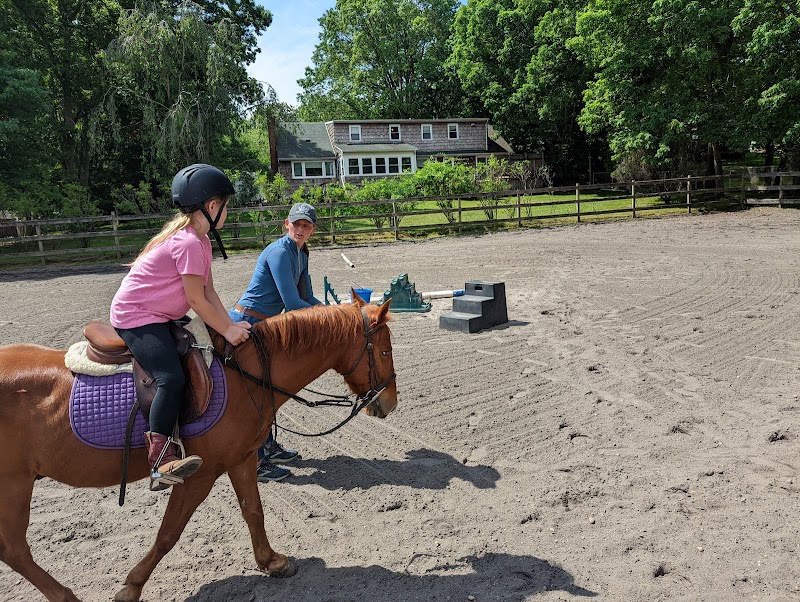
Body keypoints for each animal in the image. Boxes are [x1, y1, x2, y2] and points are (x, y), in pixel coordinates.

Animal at [0, 296, 397, 602]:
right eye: (384, 350)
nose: (390, 402)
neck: (242, 375)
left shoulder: (241, 459)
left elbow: (253, 511)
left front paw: (271, 561)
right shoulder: (198, 475)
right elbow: (168, 534)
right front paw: (131, 587)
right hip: (14, 485)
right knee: (14, 550)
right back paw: (65, 596)